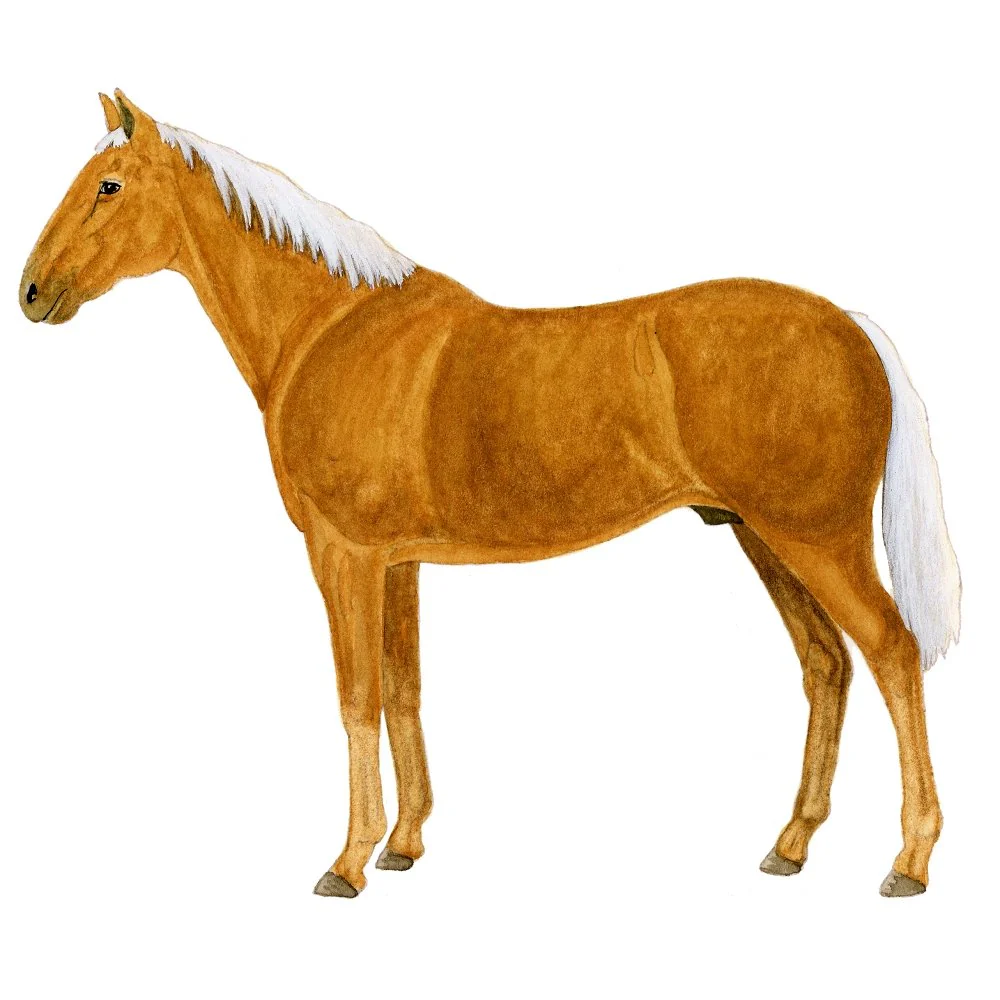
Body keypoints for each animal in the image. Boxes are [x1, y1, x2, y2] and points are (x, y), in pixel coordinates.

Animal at [20, 90, 961, 899]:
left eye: (108, 185)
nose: (30, 292)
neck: (329, 329)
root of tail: (851, 325)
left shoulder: (343, 557)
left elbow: (357, 698)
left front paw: (347, 863)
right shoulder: (396, 564)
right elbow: (403, 690)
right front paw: (402, 846)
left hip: (815, 538)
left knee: (891, 652)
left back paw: (908, 861)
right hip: (760, 537)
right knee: (826, 665)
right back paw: (789, 846)